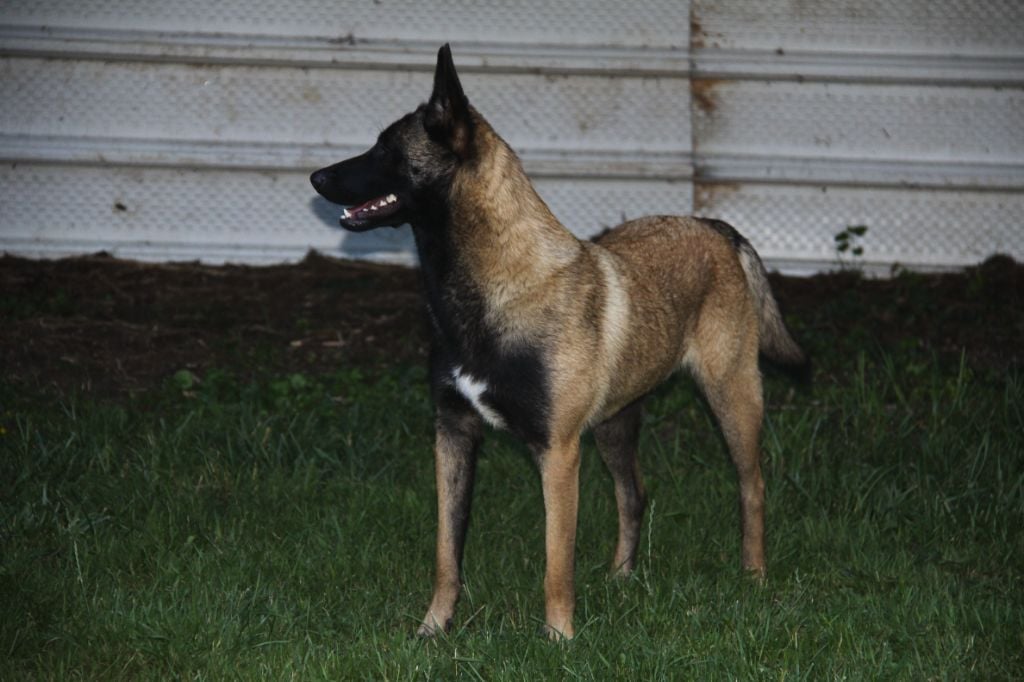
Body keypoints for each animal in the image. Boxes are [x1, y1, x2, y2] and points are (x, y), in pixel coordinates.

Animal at [310, 44, 807, 640]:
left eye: (387, 147)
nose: (315, 176)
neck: (497, 291)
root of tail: (715, 226)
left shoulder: (558, 453)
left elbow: (555, 562)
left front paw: (559, 639)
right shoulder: (452, 435)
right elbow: (447, 552)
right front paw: (433, 628)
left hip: (732, 399)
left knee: (751, 489)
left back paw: (753, 578)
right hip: (617, 423)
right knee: (634, 494)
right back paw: (621, 577)